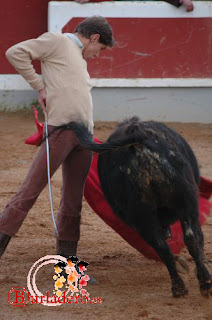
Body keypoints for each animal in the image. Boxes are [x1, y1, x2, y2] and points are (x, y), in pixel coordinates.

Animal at [53, 117, 212, 298]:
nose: (168, 232)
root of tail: (139, 141)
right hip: (182, 202)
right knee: (191, 238)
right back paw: (200, 283)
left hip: (145, 216)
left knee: (165, 246)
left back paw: (182, 287)